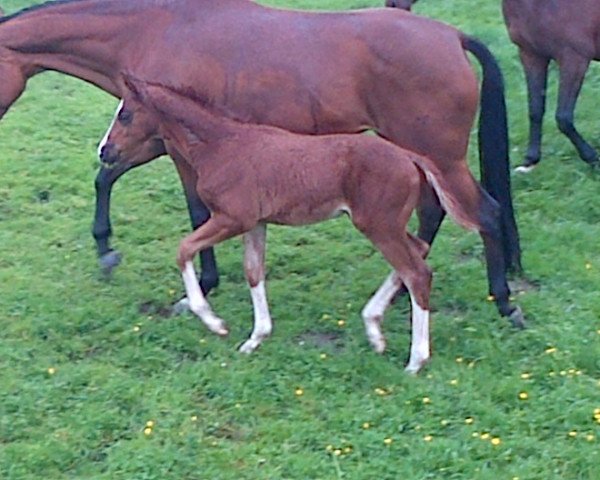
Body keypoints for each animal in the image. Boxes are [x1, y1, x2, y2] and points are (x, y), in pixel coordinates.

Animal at [102, 79, 478, 374]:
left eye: (125, 114)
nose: (104, 151)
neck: (220, 144)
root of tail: (409, 156)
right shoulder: (255, 224)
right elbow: (254, 272)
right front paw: (256, 338)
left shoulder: (232, 218)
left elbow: (183, 249)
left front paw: (215, 323)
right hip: (388, 224)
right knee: (419, 250)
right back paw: (374, 328)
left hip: (378, 225)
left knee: (417, 272)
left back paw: (415, 360)